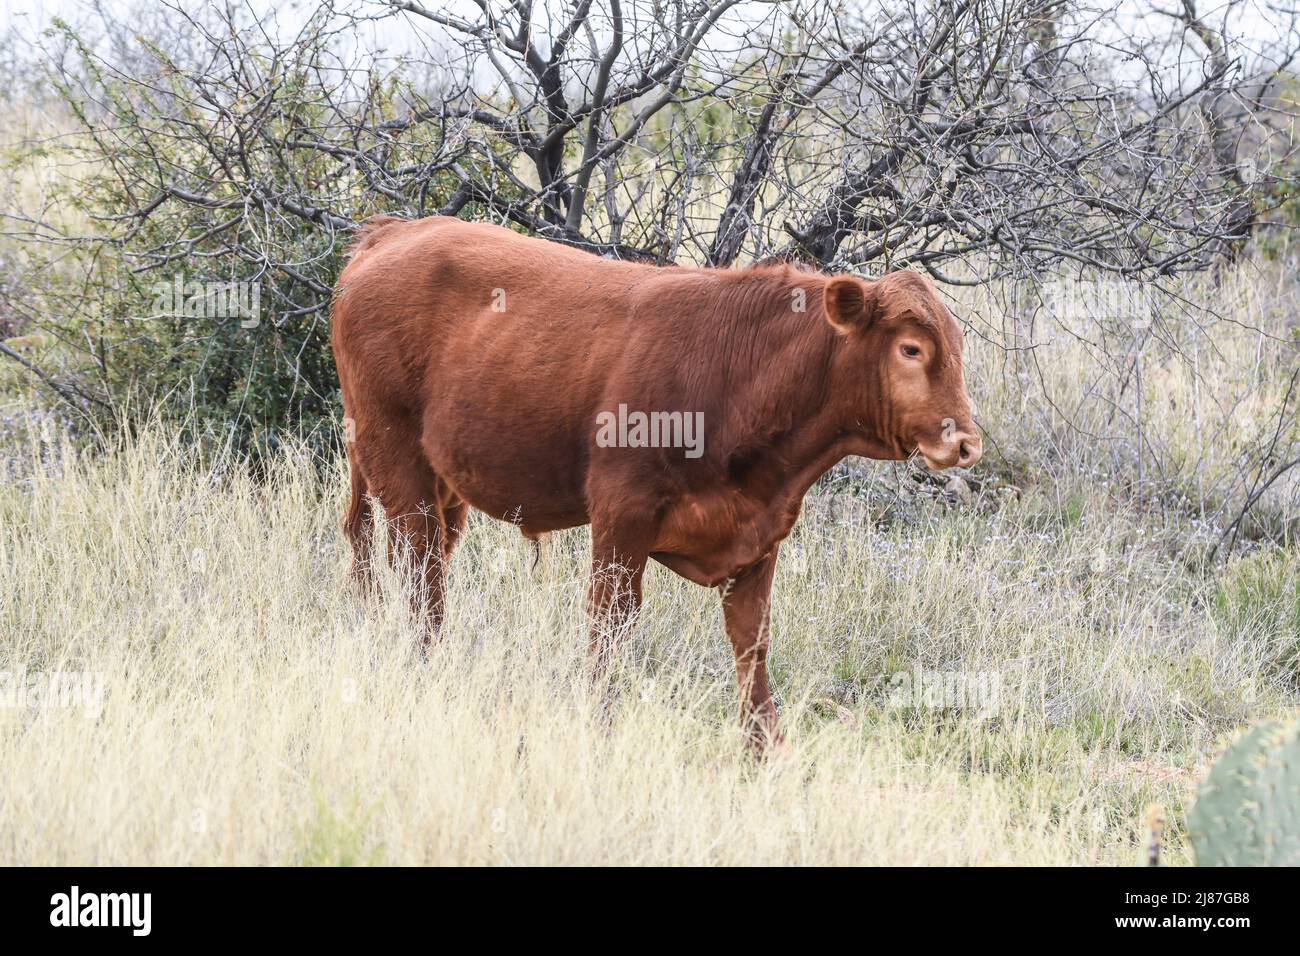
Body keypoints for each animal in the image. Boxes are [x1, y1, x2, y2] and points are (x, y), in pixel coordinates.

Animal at [330, 214, 977, 749]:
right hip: (396, 461)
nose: (967, 442)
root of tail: (392, 232)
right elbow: (610, 626)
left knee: (408, 560)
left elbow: (752, 642)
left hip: (441, 487)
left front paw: (764, 750)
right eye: (911, 349)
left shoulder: (759, 536)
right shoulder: (622, 516)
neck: (742, 373)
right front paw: (601, 726)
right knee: (416, 570)